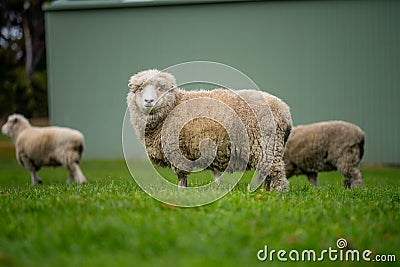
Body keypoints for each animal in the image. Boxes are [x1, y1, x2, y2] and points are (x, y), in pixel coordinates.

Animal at [126, 69, 292, 193]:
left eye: (160, 89)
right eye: (140, 89)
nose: (148, 101)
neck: (173, 105)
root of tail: (284, 110)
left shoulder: (177, 151)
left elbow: (181, 176)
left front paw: (180, 192)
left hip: (267, 144)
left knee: (276, 172)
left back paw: (277, 194)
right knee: (268, 173)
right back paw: (266, 191)